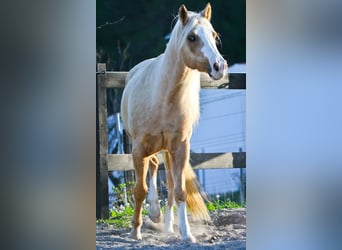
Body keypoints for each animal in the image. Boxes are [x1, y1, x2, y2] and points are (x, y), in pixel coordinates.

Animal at [120, 3, 227, 242]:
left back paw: (167, 225)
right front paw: (135, 231)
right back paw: (154, 214)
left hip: (167, 150)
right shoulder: (138, 149)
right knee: (152, 168)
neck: (163, 96)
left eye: (214, 35)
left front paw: (186, 234)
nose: (219, 66)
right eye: (192, 37)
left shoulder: (180, 147)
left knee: (167, 181)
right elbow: (139, 190)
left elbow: (179, 191)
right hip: (149, 148)